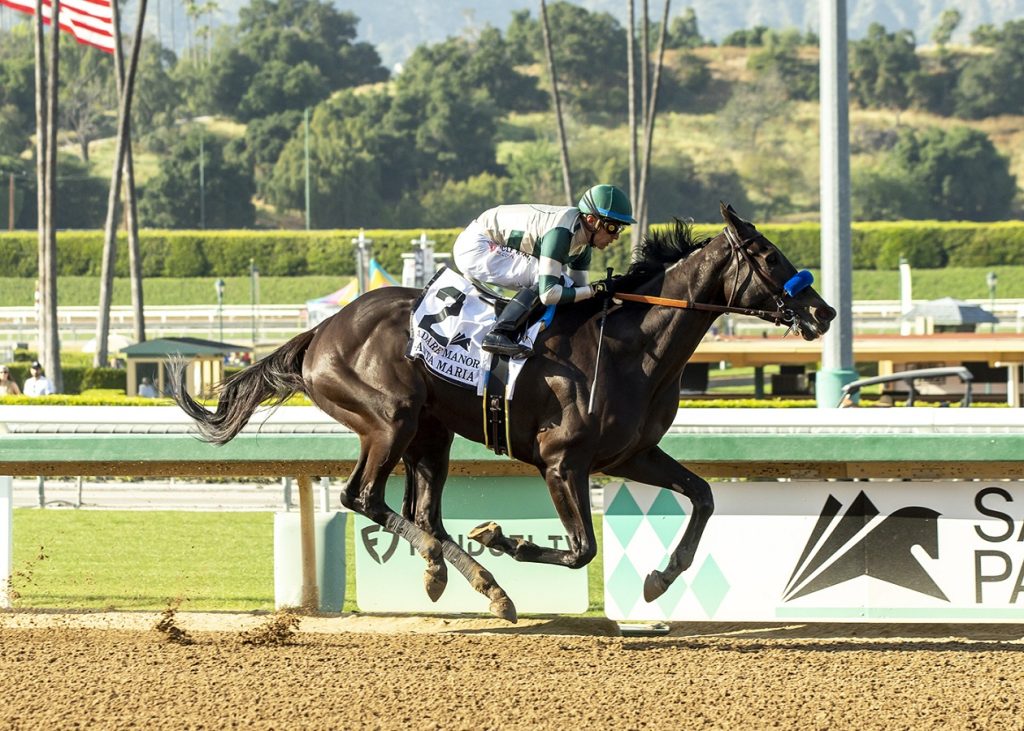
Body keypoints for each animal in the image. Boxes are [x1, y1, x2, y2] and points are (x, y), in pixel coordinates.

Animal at [174, 203, 831, 622]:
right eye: (768, 255)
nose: (822, 313)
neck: (633, 345)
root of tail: (322, 330)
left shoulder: (631, 454)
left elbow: (703, 496)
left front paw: (659, 577)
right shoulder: (562, 462)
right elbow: (581, 549)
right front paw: (505, 539)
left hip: (430, 434)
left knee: (422, 514)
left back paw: (470, 582)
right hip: (390, 419)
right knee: (364, 497)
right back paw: (461, 571)